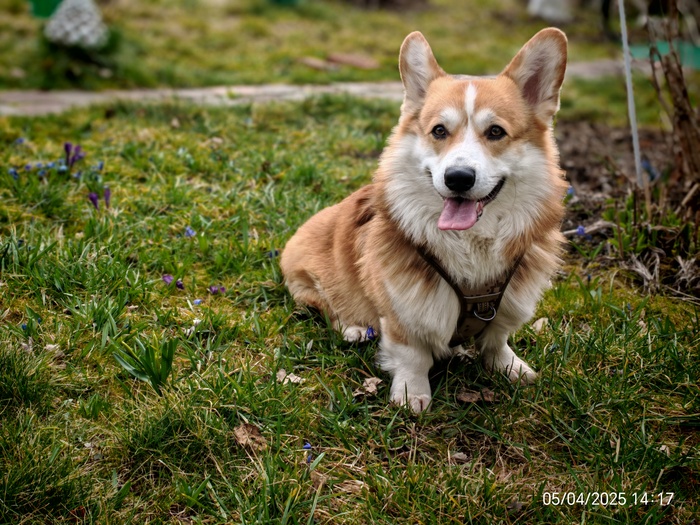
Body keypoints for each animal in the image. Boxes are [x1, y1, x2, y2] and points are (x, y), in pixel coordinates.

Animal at [281, 29, 568, 412]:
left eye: (495, 132)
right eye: (439, 131)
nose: (458, 178)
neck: (473, 244)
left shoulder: (509, 300)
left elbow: (497, 340)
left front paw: (511, 368)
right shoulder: (400, 310)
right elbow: (412, 354)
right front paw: (411, 393)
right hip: (306, 280)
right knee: (328, 306)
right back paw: (354, 328)